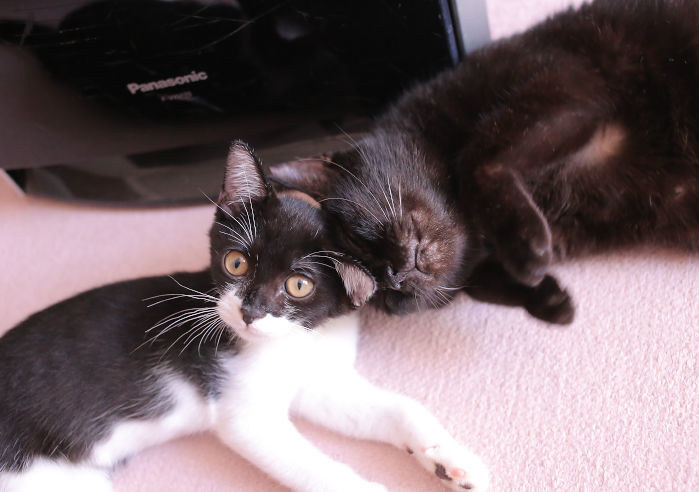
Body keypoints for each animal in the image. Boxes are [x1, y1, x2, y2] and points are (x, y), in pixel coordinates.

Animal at [0, 141, 489, 492]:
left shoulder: (321, 382)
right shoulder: (246, 415)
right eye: (235, 263)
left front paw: (449, 458)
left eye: (299, 285)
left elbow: (398, 407)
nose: (249, 312)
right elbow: (311, 467)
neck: (300, 339)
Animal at [270, 0, 699, 324]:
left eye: (358, 237)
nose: (394, 275)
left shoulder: (567, 82)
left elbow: (475, 156)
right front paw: (547, 298)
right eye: (379, 293)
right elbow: (477, 284)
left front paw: (528, 250)